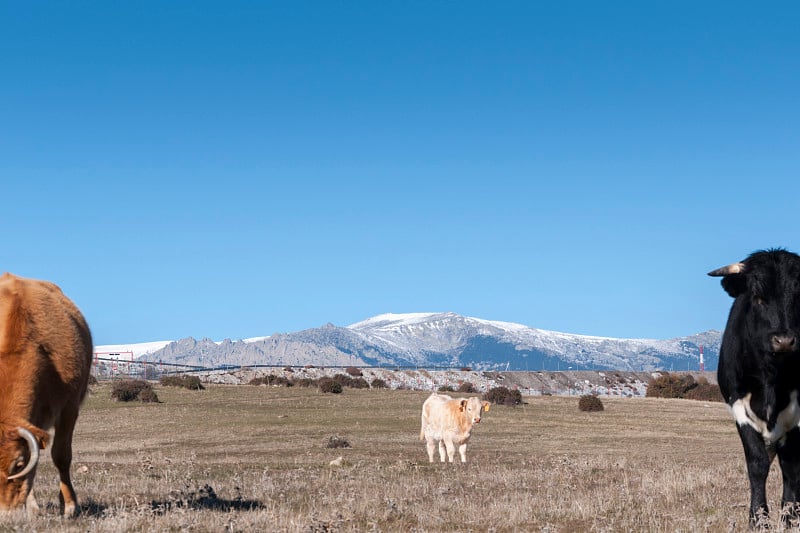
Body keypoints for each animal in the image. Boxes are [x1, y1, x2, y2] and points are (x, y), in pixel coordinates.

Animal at [708, 248, 796, 524]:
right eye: (757, 298)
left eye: (799, 295)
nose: (784, 340)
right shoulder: (739, 408)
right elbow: (757, 464)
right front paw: (758, 517)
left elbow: (791, 467)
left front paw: (790, 517)